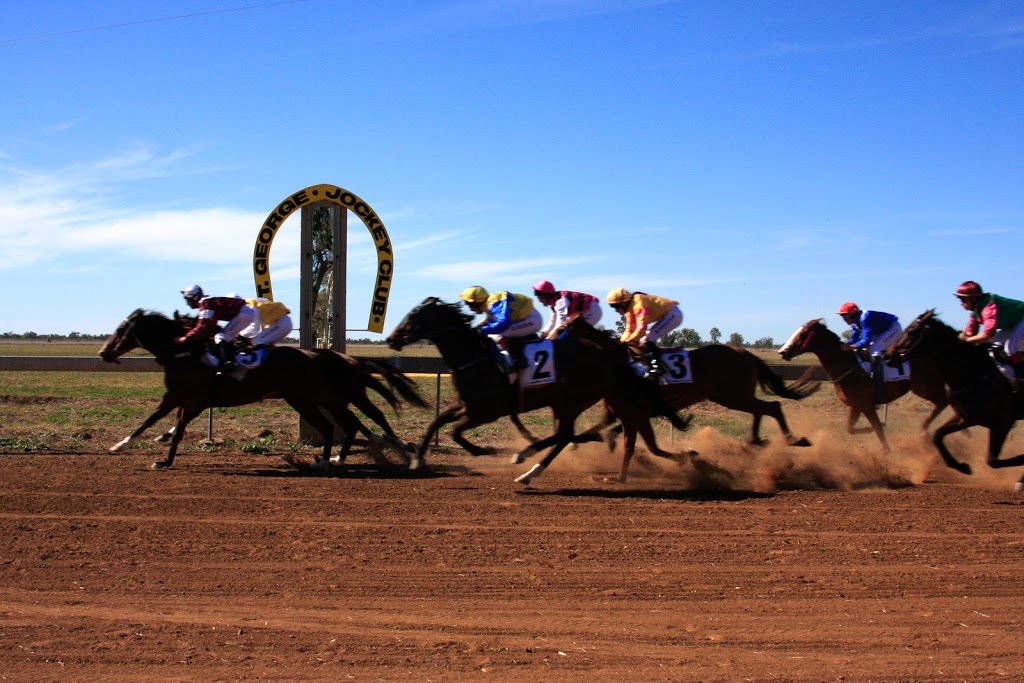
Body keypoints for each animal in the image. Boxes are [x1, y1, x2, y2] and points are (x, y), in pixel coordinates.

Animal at [97, 309, 425, 471]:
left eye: (121, 330)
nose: (103, 352)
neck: (184, 351)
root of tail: (323, 356)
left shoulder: (178, 397)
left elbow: (148, 421)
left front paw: (120, 446)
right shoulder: (192, 401)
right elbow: (176, 431)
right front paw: (165, 459)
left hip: (309, 398)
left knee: (341, 425)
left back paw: (333, 460)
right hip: (317, 399)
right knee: (348, 424)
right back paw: (334, 459)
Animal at [387, 296, 692, 483]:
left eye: (413, 316)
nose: (391, 339)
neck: (476, 358)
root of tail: (606, 354)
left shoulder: (485, 412)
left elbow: (455, 432)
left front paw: (484, 450)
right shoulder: (467, 406)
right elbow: (436, 422)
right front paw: (417, 460)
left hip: (569, 399)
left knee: (564, 435)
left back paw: (528, 466)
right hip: (567, 401)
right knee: (564, 435)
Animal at [778, 321, 946, 454]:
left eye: (803, 333)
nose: (783, 351)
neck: (849, 367)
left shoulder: (867, 405)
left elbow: (877, 428)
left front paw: (886, 450)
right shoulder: (856, 405)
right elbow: (851, 428)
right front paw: (881, 427)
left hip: (924, 387)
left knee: (942, 402)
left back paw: (925, 429)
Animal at [888, 309, 1024, 491]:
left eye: (912, 331)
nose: (887, 355)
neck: (972, 376)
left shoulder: (1002, 423)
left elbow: (992, 460)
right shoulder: (965, 418)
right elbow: (937, 435)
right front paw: (962, 466)